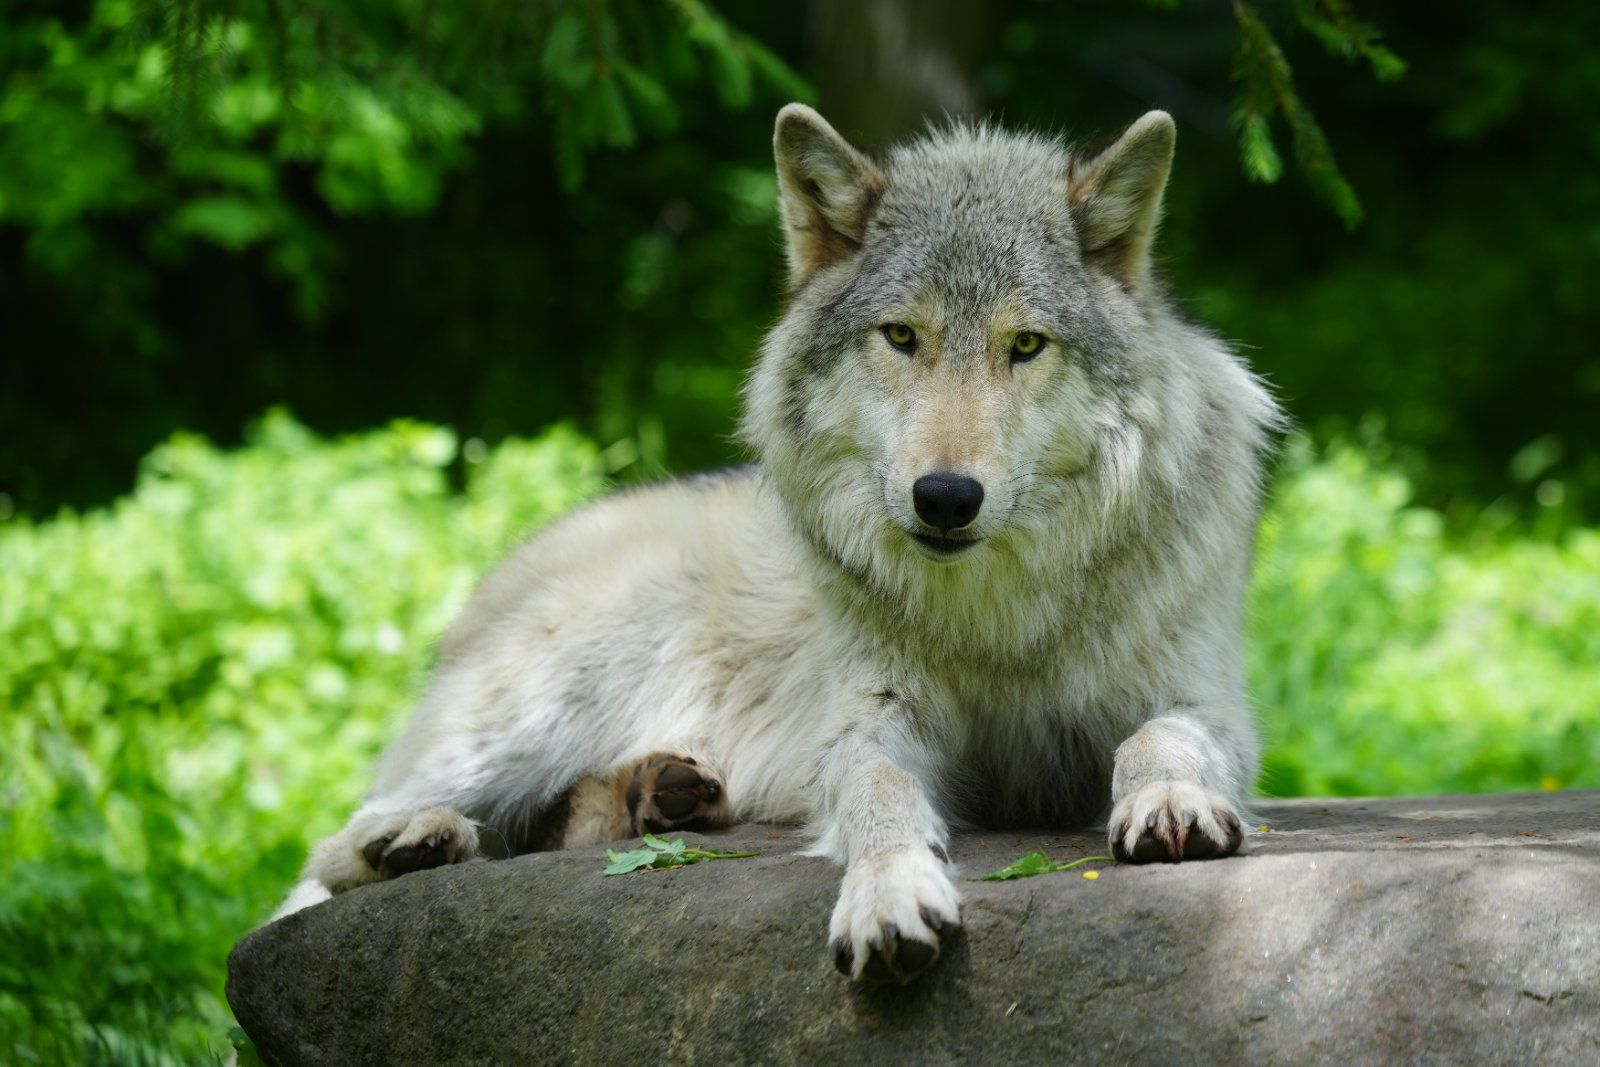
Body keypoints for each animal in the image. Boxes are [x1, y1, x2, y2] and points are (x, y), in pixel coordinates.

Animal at [273, 104, 1280, 985]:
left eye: (1025, 345)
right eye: (901, 336)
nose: (946, 497)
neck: (1001, 621)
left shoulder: (1206, 699)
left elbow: (1156, 736)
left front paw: (1169, 800)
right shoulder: (871, 719)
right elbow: (877, 792)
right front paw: (887, 891)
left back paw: (657, 792)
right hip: (530, 715)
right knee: (324, 853)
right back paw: (417, 840)